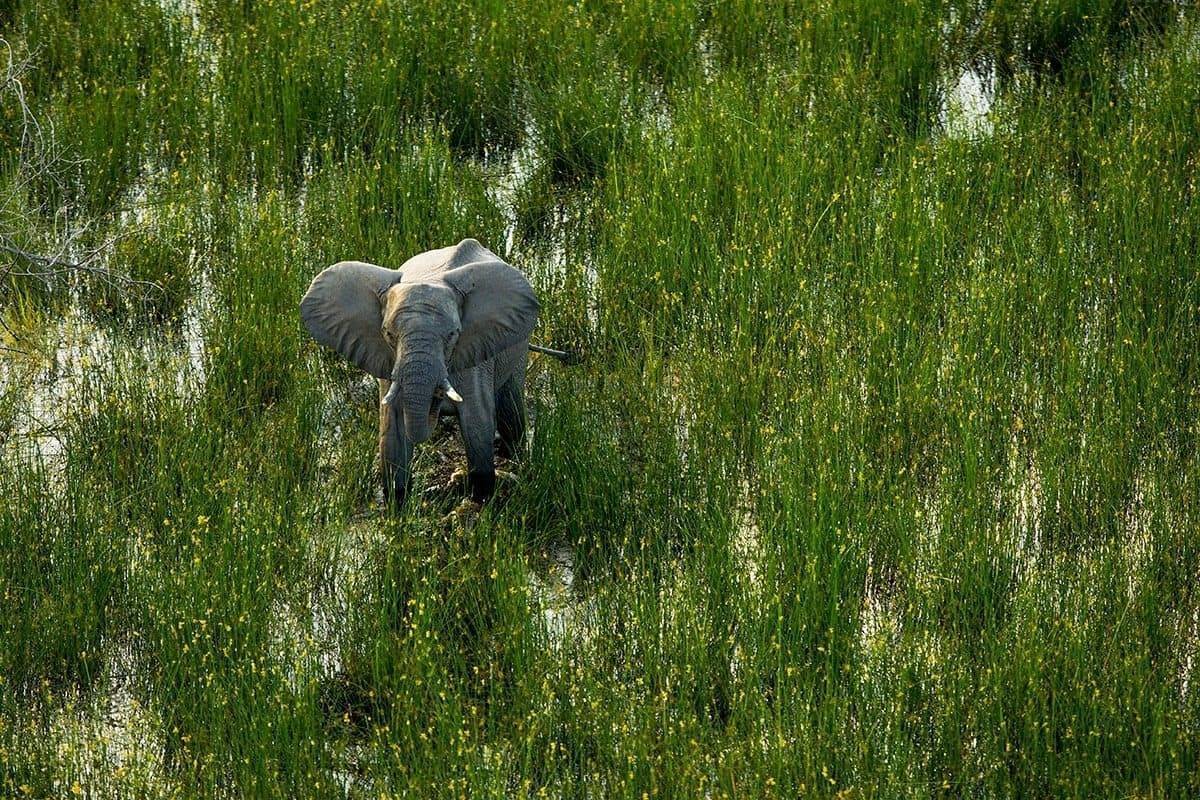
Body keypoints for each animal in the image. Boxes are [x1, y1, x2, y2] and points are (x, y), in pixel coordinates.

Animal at [300, 238, 540, 508]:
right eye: (388, 334)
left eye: (453, 334)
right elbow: (391, 431)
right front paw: (397, 503)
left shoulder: (474, 355)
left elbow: (478, 423)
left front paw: (481, 500)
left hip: (518, 344)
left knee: (510, 406)